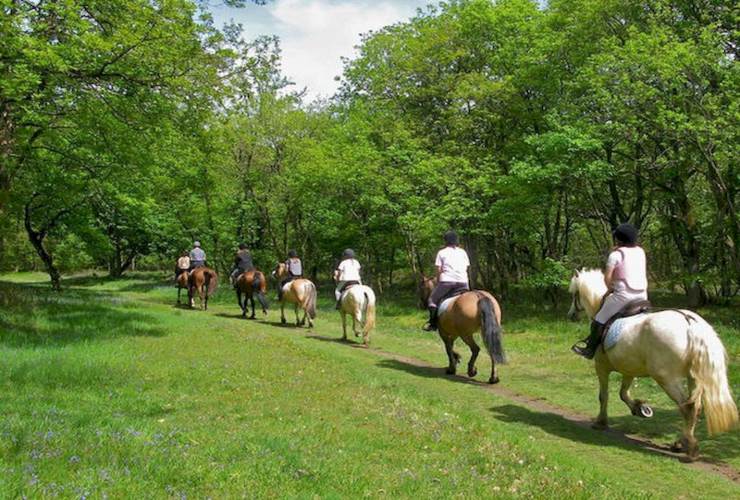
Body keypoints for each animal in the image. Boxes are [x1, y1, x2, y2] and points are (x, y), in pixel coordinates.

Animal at [568, 268, 736, 458]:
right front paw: (640, 409)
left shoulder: (601, 367)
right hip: (694, 378)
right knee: (694, 407)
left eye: (574, 294)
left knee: (686, 407)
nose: (571, 315)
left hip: (666, 378)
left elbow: (604, 396)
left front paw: (601, 422)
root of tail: (690, 324)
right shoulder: (629, 369)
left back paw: (689, 446)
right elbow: (623, 393)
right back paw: (681, 443)